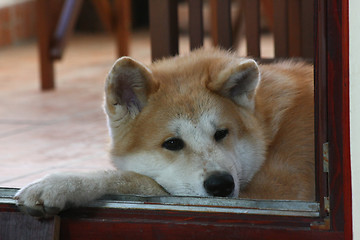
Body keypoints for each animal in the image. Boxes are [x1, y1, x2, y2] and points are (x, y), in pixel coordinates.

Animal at [14, 48, 312, 218]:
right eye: (172, 143)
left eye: (221, 133)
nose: (221, 185)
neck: (271, 128)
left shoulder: (275, 196)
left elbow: (129, 178)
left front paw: (59, 184)